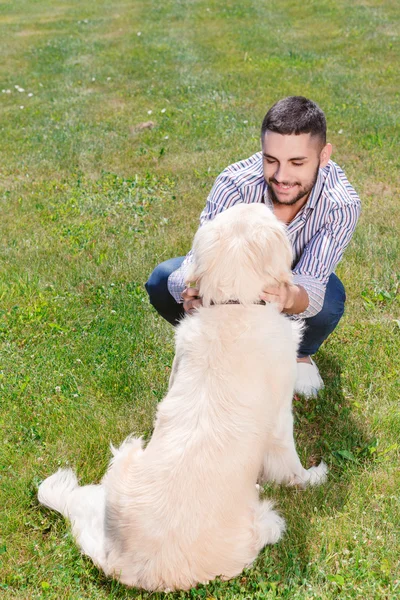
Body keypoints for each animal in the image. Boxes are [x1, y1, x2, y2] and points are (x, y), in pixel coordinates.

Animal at [37, 203, 326, 592]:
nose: (266, 203)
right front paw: (313, 477)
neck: (236, 305)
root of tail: (127, 566)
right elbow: (292, 466)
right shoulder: (281, 419)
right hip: (261, 521)